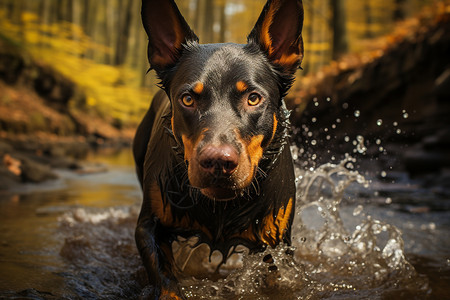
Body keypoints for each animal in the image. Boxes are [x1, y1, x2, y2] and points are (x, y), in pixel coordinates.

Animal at [132, 0, 304, 298]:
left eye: (253, 98)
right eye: (188, 99)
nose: (218, 162)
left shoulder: (278, 246)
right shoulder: (148, 228)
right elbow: (167, 283)